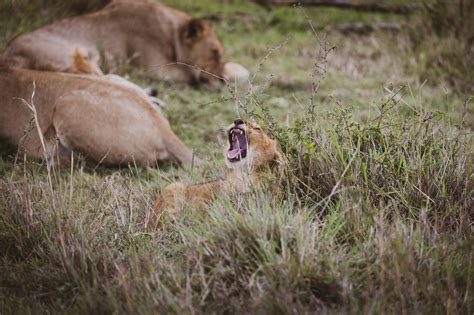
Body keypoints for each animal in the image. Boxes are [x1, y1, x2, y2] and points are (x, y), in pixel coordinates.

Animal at [1, 0, 248, 84]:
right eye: (214, 53)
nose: (221, 81)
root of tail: (7, 56)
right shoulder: (156, 69)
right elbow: (190, 75)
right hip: (73, 58)